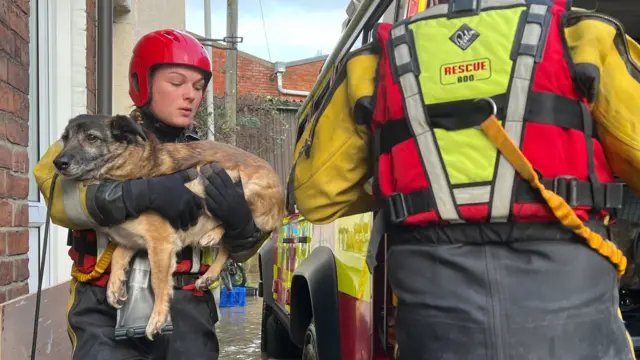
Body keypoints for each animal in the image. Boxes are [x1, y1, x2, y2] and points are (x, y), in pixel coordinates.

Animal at [52, 114, 284, 338]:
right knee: (229, 245)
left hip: (222, 183)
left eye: (91, 138)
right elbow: (117, 255)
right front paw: (114, 287)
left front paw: (158, 319)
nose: (57, 162)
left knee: (233, 224)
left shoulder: (161, 244)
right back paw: (208, 275)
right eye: (65, 138)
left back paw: (213, 235)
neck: (123, 172)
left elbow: (158, 282)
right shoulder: (132, 241)